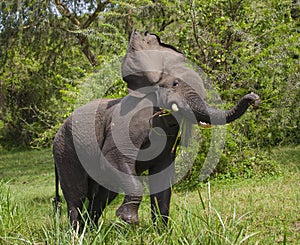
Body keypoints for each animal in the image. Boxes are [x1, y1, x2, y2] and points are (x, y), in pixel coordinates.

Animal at [52, 31, 260, 230]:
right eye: (175, 84)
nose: (254, 98)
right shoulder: (129, 122)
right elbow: (113, 158)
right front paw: (130, 221)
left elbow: (162, 179)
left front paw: (161, 233)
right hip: (66, 150)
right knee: (77, 196)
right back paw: (77, 234)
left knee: (102, 196)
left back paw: (91, 231)